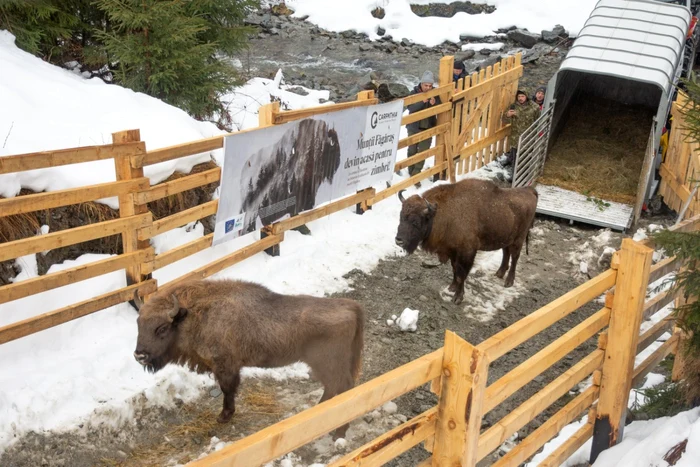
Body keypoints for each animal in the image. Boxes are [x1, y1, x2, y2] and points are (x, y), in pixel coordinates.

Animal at [131, 280, 364, 440]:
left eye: (162, 328)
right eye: (138, 323)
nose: (139, 355)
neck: (196, 314)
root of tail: (351, 307)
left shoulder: (225, 366)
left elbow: (227, 390)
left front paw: (224, 416)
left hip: (327, 364)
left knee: (342, 387)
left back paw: (338, 432)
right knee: (334, 388)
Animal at [394, 177, 536, 306]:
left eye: (415, 221)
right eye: (401, 216)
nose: (398, 240)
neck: (439, 213)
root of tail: (529, 191)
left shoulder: (466, 253)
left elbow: (461, 274)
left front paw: (457, 297)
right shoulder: (452, 251)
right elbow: (454, 269)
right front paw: (452, 287)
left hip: (519, 239)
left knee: (515, 257)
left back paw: (509, 281)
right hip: (506, 238)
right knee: (506, 253)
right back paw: (499, 273)